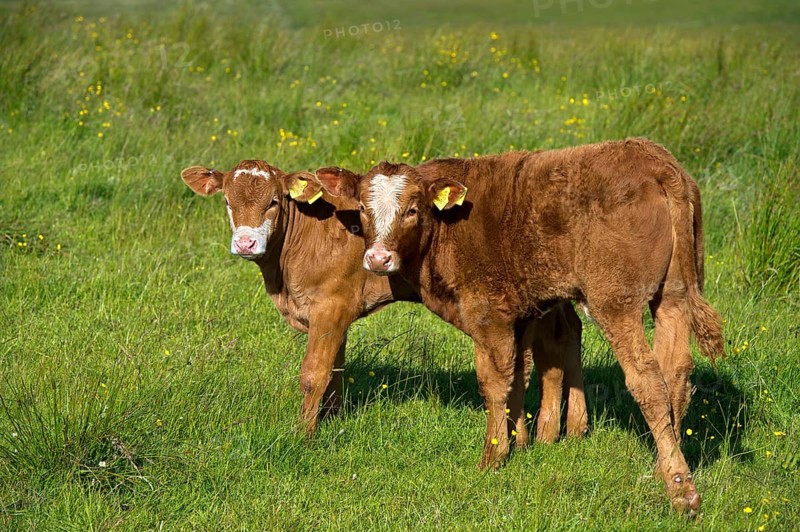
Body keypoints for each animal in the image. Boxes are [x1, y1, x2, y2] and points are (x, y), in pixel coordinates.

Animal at [180, 160, 588, 444]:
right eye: (227, 202)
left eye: (273, 202)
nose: (245, 243)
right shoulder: (338, 313)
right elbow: (336, 371)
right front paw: (332, 421)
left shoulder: (329, 307)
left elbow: (314, 374)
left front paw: (303, 435)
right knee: (567, 336)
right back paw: (571, 428)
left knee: (554, 344)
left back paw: (552, 431)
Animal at [311, 138, 724, 515]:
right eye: (362, 208)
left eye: (412, 209)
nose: (378, 258)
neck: (448, 228)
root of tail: (656, 161)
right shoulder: (521, 312)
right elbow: (519, 374)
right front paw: (520, 443)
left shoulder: (486, 313)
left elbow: (493, 382)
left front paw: (492, 457)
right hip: (673, 294)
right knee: (675, 370)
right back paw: (660, 469)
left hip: (614, 302)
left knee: (647, 380)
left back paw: (680, 490)